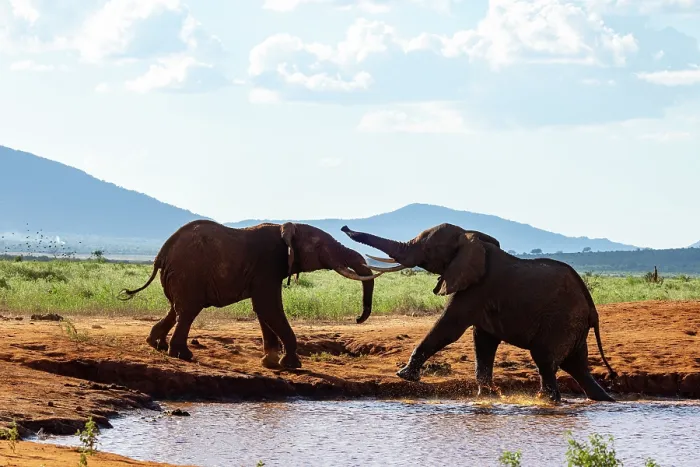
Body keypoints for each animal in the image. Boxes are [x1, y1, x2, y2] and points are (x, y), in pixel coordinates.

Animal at [118, 220, 385, 369]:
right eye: (319, 247)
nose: (357, 319)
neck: (285, 228)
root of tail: (161, 254)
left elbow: (263, 310)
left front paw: (270, 363)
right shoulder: (268, 264)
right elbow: (269, 307)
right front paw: (291, 365)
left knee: (176, 308)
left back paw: (157, 344)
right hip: (188, 272)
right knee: (188, 311)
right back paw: (182, 355)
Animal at [341, 223, 618, 402]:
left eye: (428, 250)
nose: (343, 227)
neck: (470, 237)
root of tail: (592, 309)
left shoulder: (477, 287)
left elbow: (449, 327)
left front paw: (404, 375)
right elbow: (482, 340)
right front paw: (486, 397)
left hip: (561, 321)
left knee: (545, 360)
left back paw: (547, 400)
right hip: (573, 327)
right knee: (577, 368)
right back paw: (603, 400)